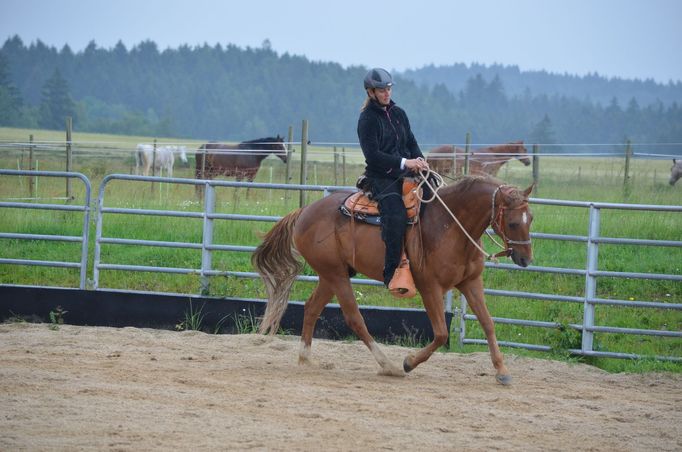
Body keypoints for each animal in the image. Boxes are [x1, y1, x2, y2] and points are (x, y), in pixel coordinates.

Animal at [252, 176, 532, 384]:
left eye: (531, 219)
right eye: (513, 222)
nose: (526, 259)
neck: (449, 226)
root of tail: (304, 211)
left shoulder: (471, 282)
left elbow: (488, 323)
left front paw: (502, 371)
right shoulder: (430, 287)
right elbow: (441, 333)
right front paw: (409, 362)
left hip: (332, 274)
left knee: (311, 308)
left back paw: (306, 358)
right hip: (335, 275)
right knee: (354, 318)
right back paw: (389, 365)